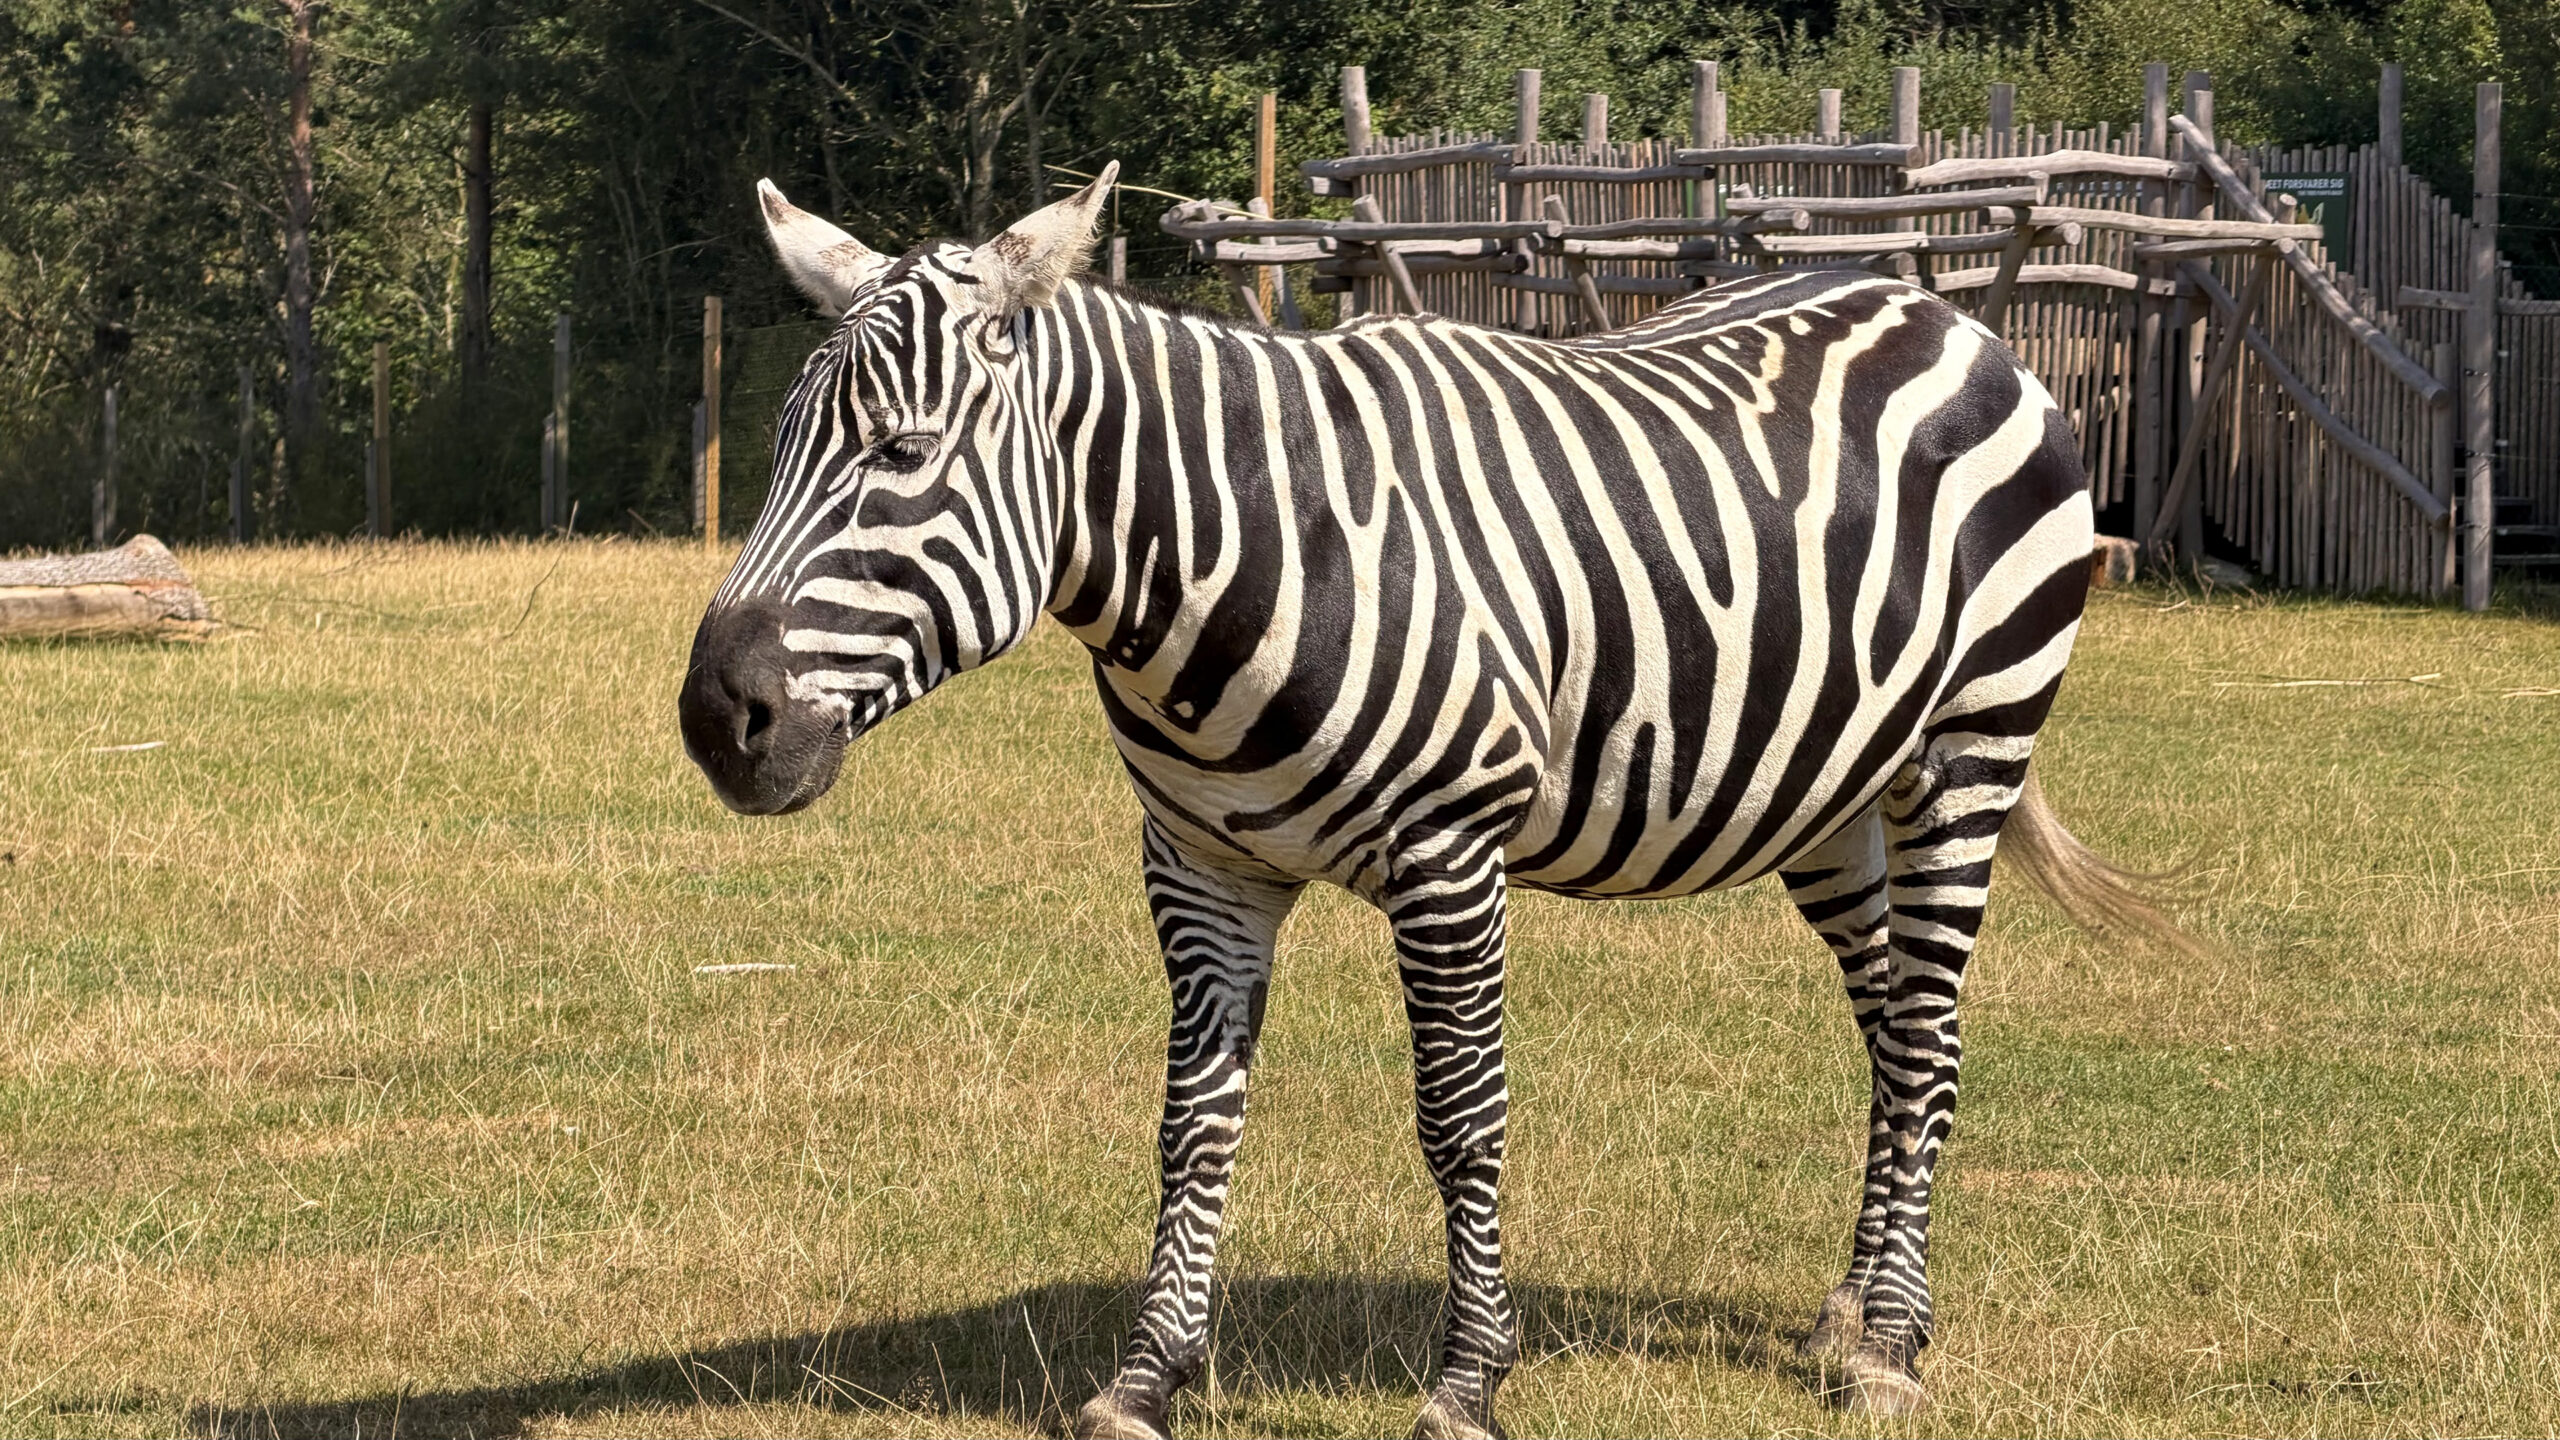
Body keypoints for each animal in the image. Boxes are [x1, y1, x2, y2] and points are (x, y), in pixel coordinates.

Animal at [678, 166, 2188, 1438]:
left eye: (901, 452)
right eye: (779, 445)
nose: (713, 718)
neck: (1239, 551)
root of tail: (1940, 308)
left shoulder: (1447, 852)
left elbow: (1462, 1119)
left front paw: (1468, 1384)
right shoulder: (1200, 861)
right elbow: (1191, 1121)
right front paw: (1146, 1378)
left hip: (1969, 745)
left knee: (1927, 1034)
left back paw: (1891, 1348)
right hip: (1830, 790)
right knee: (1887, 1025)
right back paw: (1849, 1312)